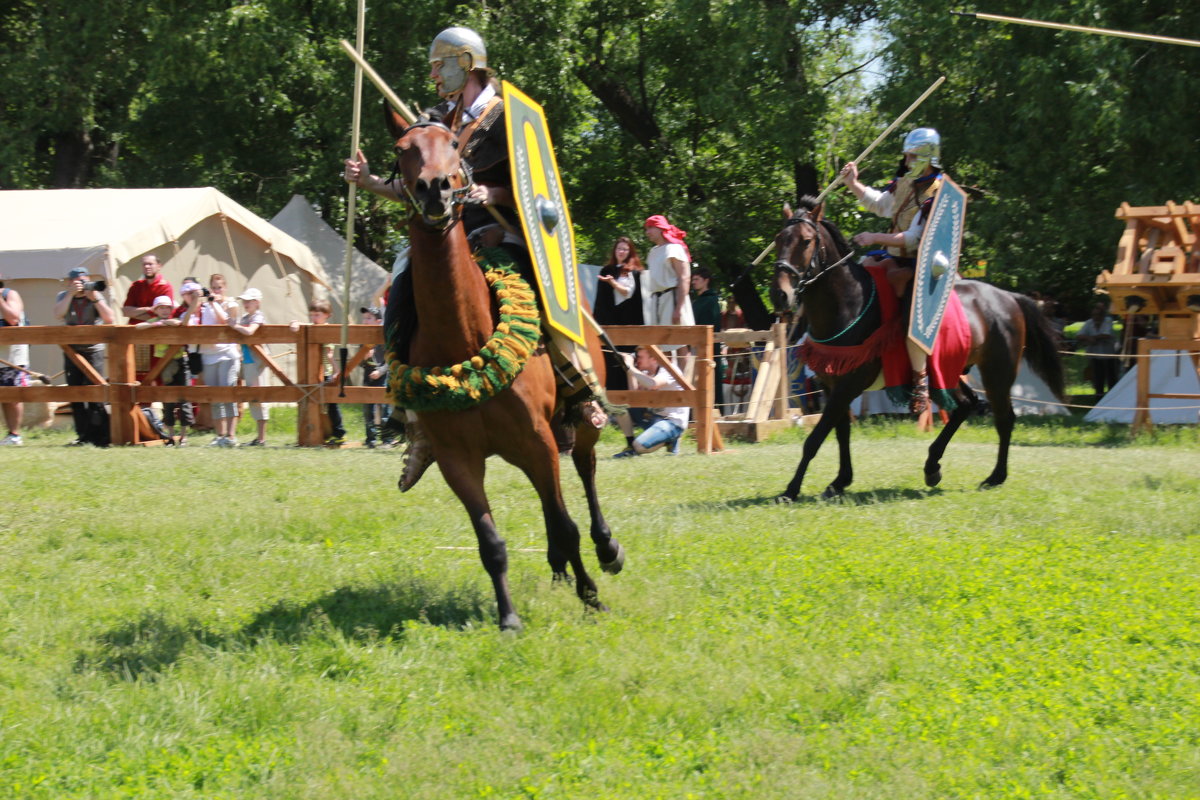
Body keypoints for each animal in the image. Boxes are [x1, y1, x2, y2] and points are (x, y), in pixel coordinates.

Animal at [388, 120, 628, 633]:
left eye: (453, 144)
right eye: (402, 150)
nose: (435, 189)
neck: (462, 342)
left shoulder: (537, 440)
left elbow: (566, 523)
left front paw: (592, 597)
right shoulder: (459, 461)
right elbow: (491, 543)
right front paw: (509, 618)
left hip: (574, 425)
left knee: (585, 471)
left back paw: (606, 548)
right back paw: (558, 565)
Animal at [763, 197, 1065, 501]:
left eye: (806, 241)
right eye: (778, 239)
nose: (780, 294)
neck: (848, 301)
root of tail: (1009, 297)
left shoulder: (850, 384)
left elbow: (815, 438)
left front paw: (791, 490)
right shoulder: (832, 384)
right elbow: (840, 432)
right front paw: (839, 481)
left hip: (997, 372)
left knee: (1004, 418)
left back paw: (995, 477)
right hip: (948, 371)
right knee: (966, 405)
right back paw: (933, 467)